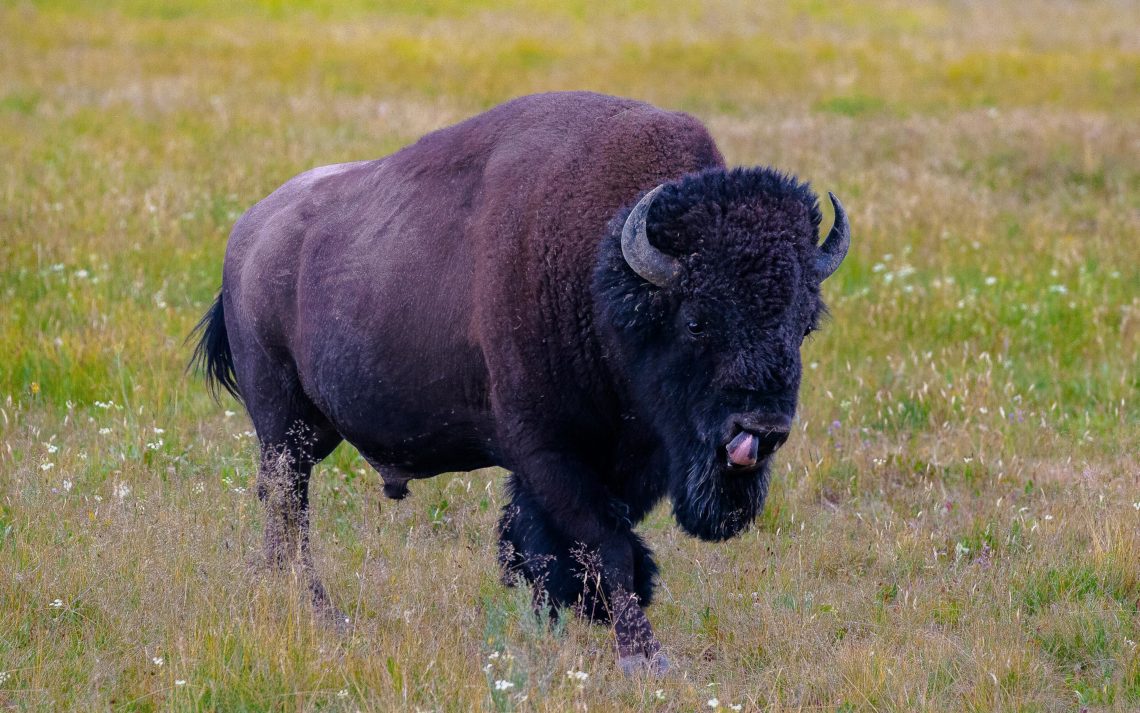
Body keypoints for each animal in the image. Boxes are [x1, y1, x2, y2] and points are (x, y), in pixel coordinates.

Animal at [191, 91, 848, 675]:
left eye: (804, 323)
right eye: (696, 321)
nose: (761, 429)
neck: (600, 268)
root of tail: (247, 235)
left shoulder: (620, 461)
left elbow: (545, 546)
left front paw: (544, 631)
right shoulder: (547, 450)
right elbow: (603, 545)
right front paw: (644, 658)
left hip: (309, 430)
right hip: (283, 426)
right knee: (290, 510)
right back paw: (320, 614)